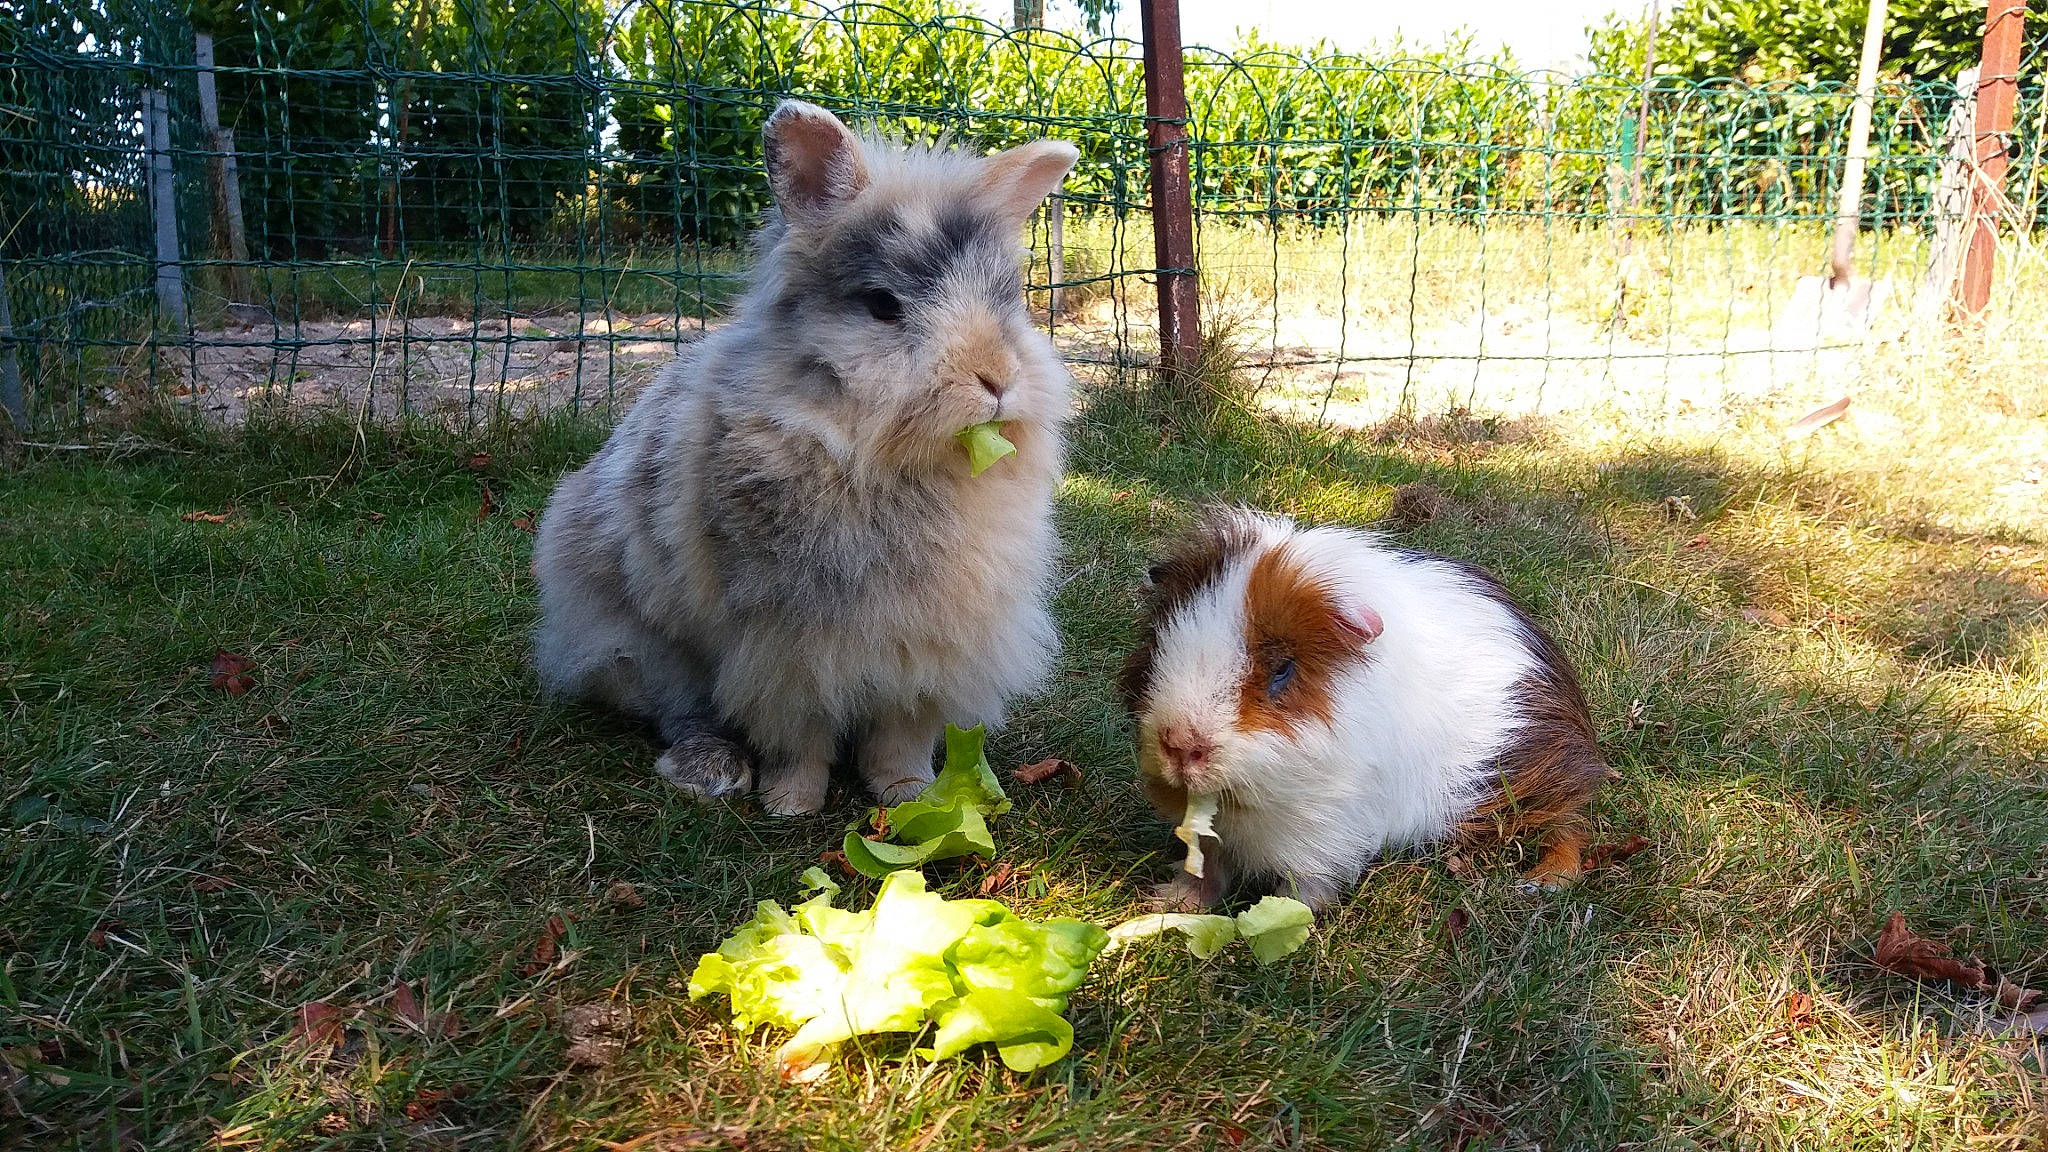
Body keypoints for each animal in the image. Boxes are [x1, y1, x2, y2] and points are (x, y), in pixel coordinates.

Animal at [531, 100, 1079, 815]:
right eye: (882, 305)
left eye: (1008, 298)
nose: (996, 380)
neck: (897, 465)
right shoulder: (787, 652)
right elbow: (799, 737)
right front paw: (790, 804)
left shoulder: (931, 655)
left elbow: (900, 738)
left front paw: (910, 796)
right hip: (641, 647)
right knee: (679, 709)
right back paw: (713, 771)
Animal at [1117, 508, 1609, 910]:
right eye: (1160, 640)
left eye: (1283, 669)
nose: (1181, 745)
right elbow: (1205, 868)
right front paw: (1170, 901)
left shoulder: (1324, 836)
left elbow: (1305, 886)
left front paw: (1287, 921)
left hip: (1543, 785)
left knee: (1571, 830)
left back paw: (1541, 883)